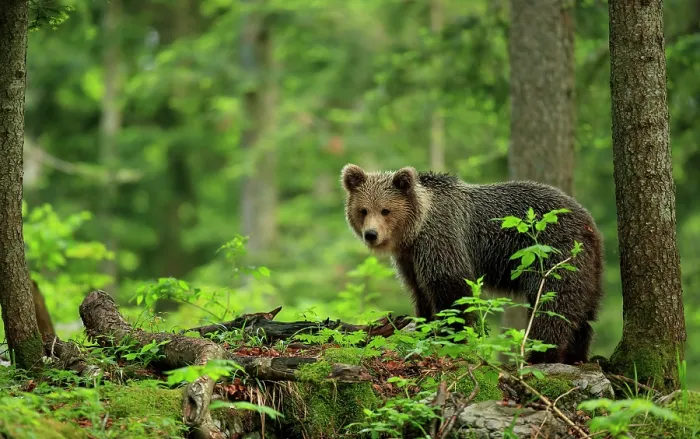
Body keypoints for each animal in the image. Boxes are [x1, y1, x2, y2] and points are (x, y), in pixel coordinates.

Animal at [340, 163, 604, 365]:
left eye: (386, 210)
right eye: (363, 210)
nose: (371, 235)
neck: (416, 229)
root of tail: (588, 221)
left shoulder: (441, 239)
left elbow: (451, 289)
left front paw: (451, 337)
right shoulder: (410, 259)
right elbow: (419, 292)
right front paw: (425, 329)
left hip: (550, 252)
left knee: (552, 302)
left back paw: (540, 355)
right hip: (587, 267)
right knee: (583, 311)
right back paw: (576, 355)